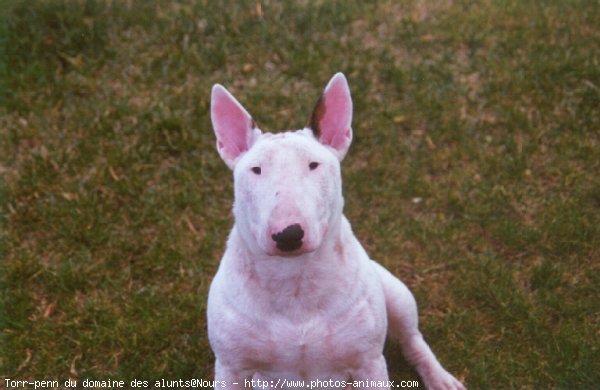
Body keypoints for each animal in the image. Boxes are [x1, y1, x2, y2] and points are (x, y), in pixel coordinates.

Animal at [206, 74, 464, 390]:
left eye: (313, 165)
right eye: (256, 170)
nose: (288, 235)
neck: (294, 282)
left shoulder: (369, 363)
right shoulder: (231, 369)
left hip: (395, 292)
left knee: (412, 339)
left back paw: (440, 378)